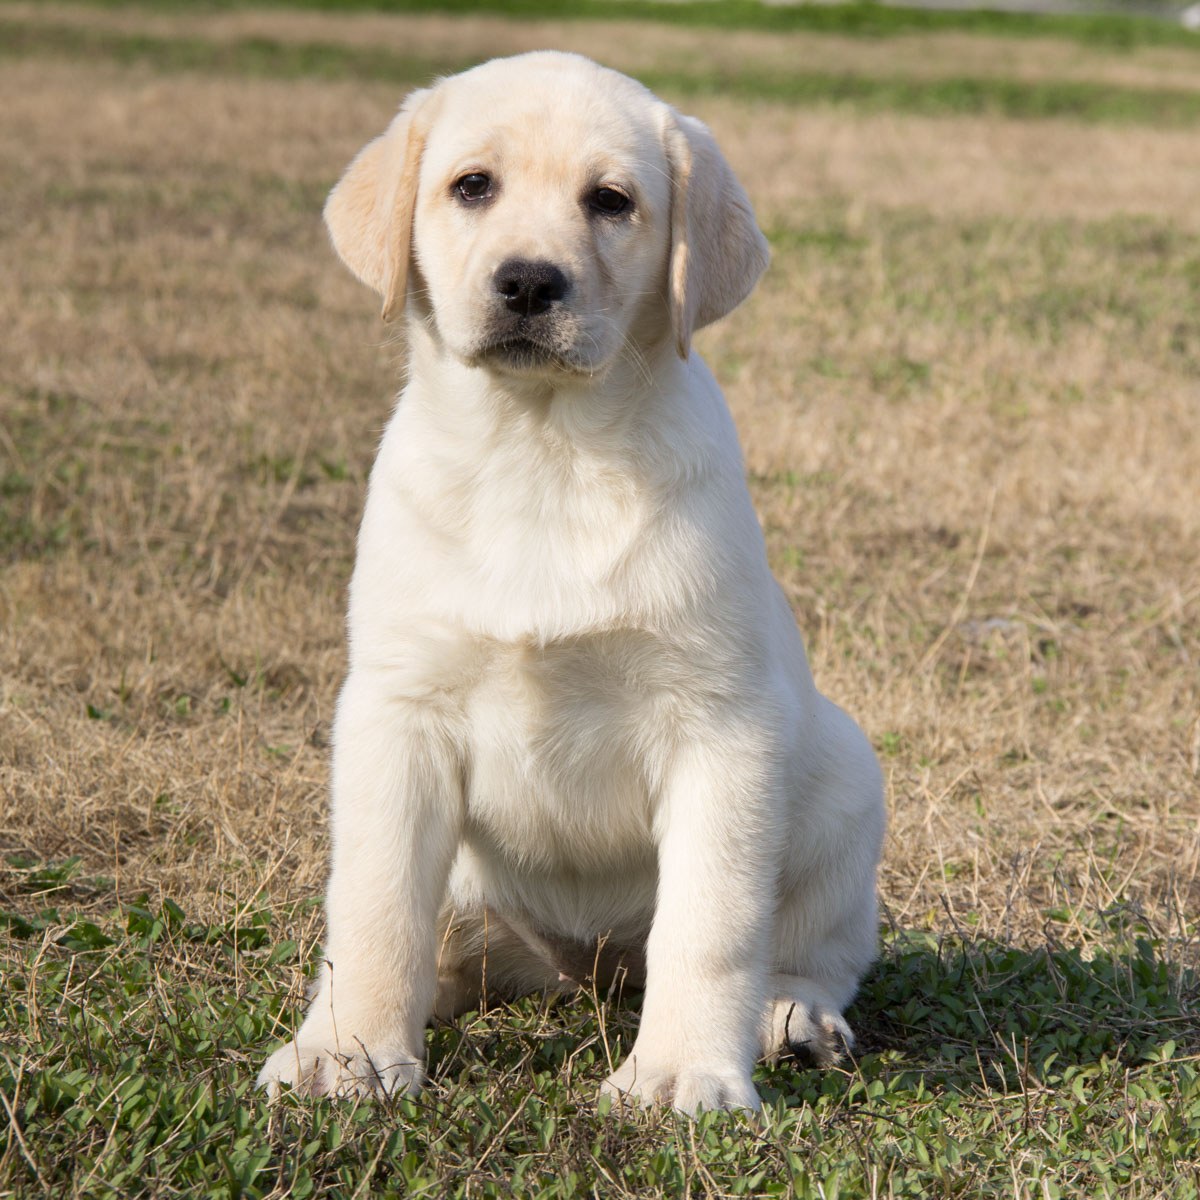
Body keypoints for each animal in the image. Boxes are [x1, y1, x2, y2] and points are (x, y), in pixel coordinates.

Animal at [258, 49, 888, 1113]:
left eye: (611, 201)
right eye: (473, 186)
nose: (526, 282)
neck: (543, 450)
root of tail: (582, 969)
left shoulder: (720, 726)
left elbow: (710, 923)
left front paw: (679, 1069)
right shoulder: (397, 712)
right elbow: (376, 906)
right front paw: (347, 1051)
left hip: (846, 781)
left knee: (810, 949)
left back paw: (789, 1016)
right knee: (444, 948)